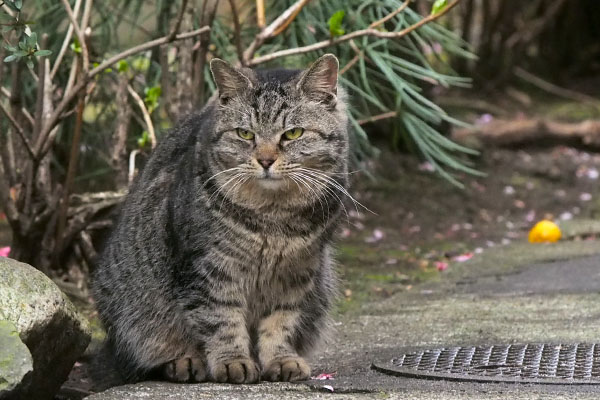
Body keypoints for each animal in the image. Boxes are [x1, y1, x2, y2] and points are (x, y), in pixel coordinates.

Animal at [94, 54, 352, 382]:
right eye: (245, 134)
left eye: (293, 133)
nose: (265, 160)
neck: (273, 218)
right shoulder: (209, 269)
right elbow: (221, 319)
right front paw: (233, 362)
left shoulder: (297, 272)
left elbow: (281, 322)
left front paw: (281, 359)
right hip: (132, 308)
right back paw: (184, 362)